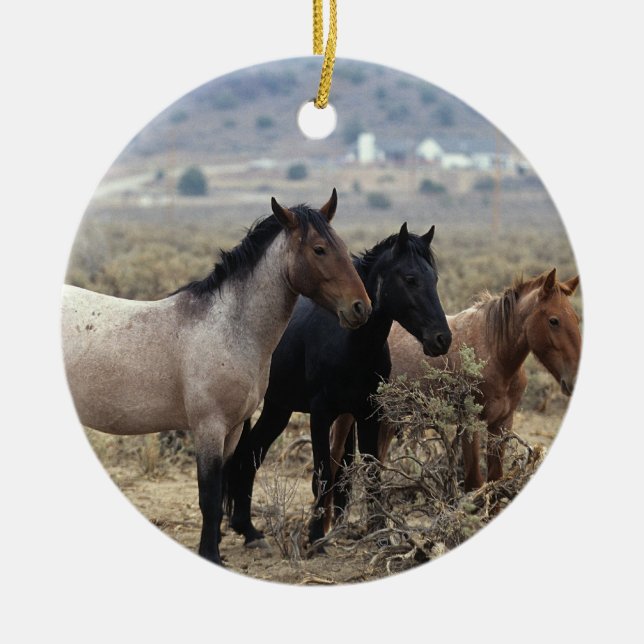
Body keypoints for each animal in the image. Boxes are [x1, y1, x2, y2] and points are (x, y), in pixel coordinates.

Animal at [62, 190, 372, 565]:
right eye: (319, 249)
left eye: (341, 245)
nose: (361, 307)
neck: (228, 327)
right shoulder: (209, 427)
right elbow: (209, 496)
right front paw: (211, 554)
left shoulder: (234, 429)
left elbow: (224, 483)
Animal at [225, 222, 452, 548]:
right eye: (410, 279)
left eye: (434, 278)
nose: (442, 339)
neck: (350, 344)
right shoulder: (321, 415)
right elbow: (322, 474)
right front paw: (316, 536)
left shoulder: (368, 414)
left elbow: (371, 472)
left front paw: (381, 536)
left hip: (278, 408)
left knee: (250, 454)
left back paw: (248, 530)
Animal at [330, 268, 581, 493]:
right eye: (554, 320)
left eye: (577, 318)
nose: (573, 379)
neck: (495, 353)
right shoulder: (470, 423)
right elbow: (474, 483)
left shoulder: (501, 424)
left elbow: (496, 481)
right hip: (348, 417)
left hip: (387, 419)